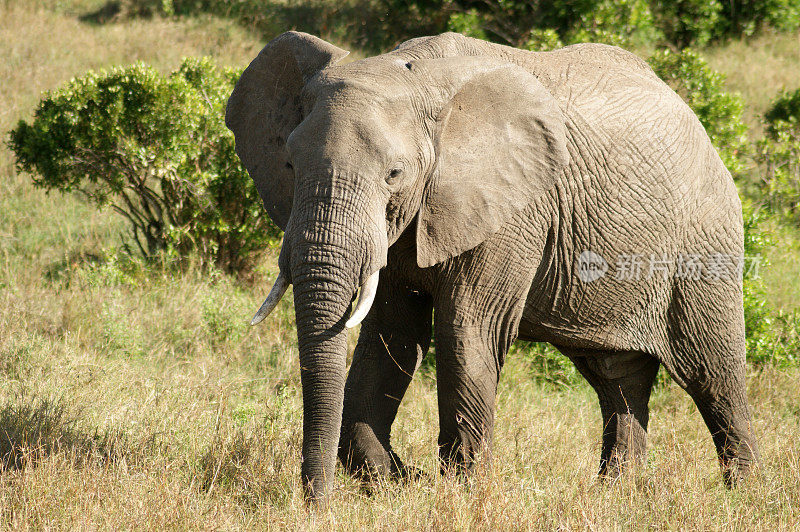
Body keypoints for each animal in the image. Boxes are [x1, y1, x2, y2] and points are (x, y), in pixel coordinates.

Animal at [225, 31, 756, 500]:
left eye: (394, 173)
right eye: (289, 165)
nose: (316, 502)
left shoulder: (512, 209)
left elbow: (466, 329)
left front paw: (456, 491)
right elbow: (391, 334)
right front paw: (397, 481)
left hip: (704, 244)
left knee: (714, 375)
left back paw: (743, 497)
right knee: (617, 380)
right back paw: (615, 497)